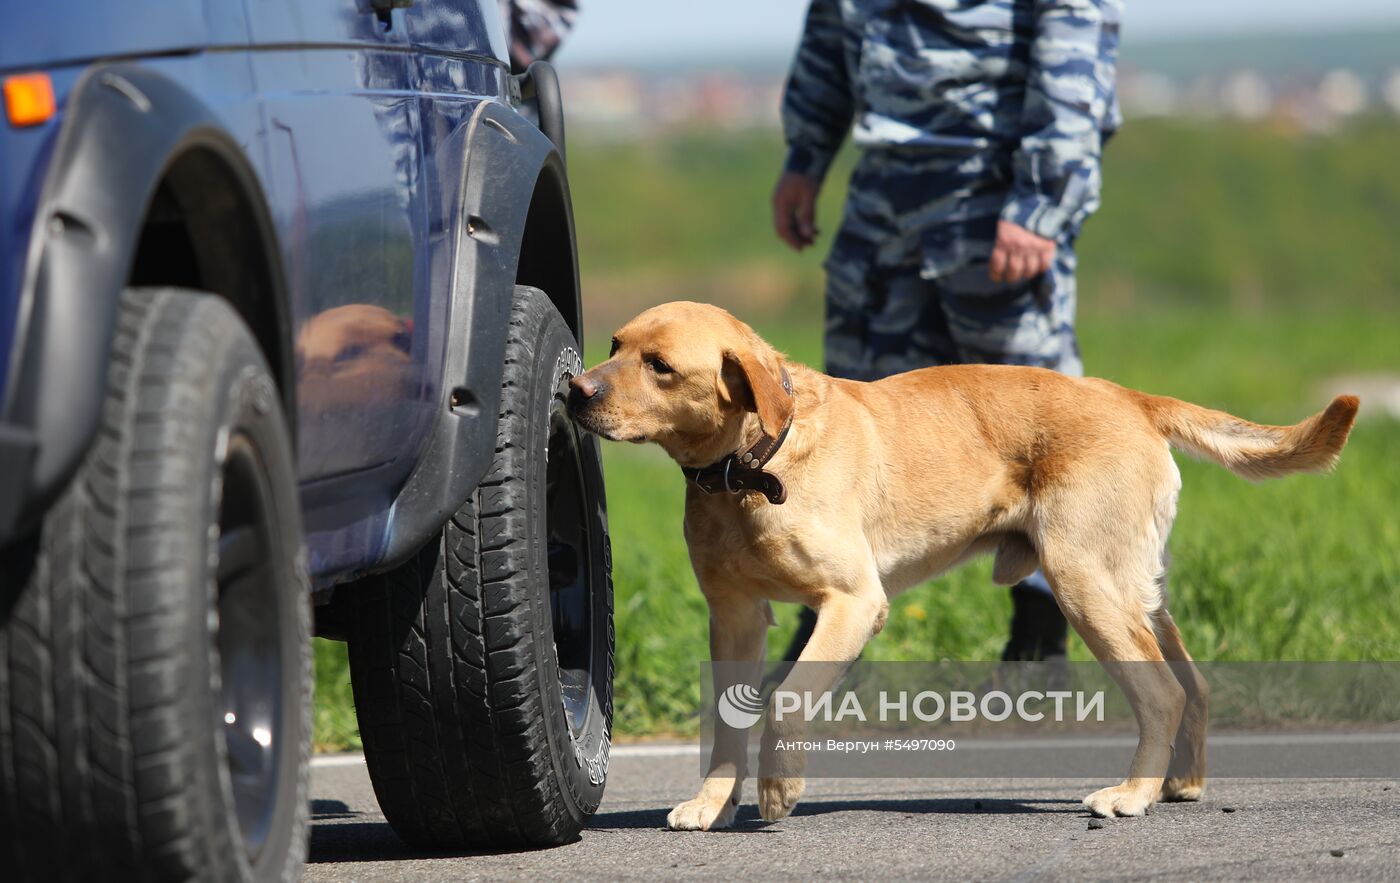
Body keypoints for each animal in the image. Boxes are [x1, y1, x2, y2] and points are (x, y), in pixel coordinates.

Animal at [565, 302, 1355, 828]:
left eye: (661, 367)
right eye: (615, 344)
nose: (576, 390)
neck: (748, 469)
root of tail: (1129, 396)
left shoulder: (853, 602)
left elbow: (785, 700)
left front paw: (779, 789)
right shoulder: (732, 617)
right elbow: (728, 719)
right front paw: (711, 801)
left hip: (1084, 582)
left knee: (1161, 692)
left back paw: (1131, 795)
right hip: (1134, 587)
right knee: (1192, 682)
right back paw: (1178, 781)